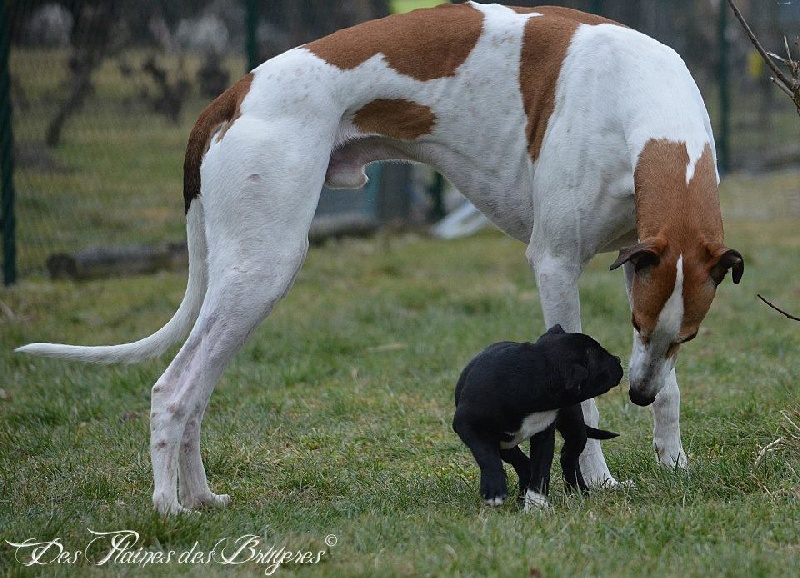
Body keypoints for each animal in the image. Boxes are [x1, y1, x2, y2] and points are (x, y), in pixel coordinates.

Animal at [454, 324, 620, 508]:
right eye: (602, 363)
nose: (619, 360)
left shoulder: (544, 433)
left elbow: (541, 468)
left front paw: (536, 504)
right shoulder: (467, 424)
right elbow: (486, 454)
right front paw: (495, 490)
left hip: (574, 426)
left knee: (568, 457)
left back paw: (578, 491)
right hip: (504, 443)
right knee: (523, 463)